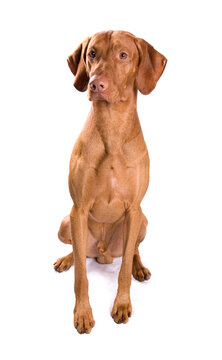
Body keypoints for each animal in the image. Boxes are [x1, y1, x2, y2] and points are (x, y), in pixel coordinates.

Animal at [53, 31, 166, 334]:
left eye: (123, 55)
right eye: (92, 53)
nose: (95, 84)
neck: (112, 129)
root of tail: (103, 253)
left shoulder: (134, 209)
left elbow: (124, 267)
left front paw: (122, 304)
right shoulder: (78, 209)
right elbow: (81, 273)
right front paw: (82, 313)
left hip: (142, 222)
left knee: (133, 250)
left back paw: (140, 267)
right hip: (66, 224)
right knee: (78, 251)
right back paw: (66, 259)